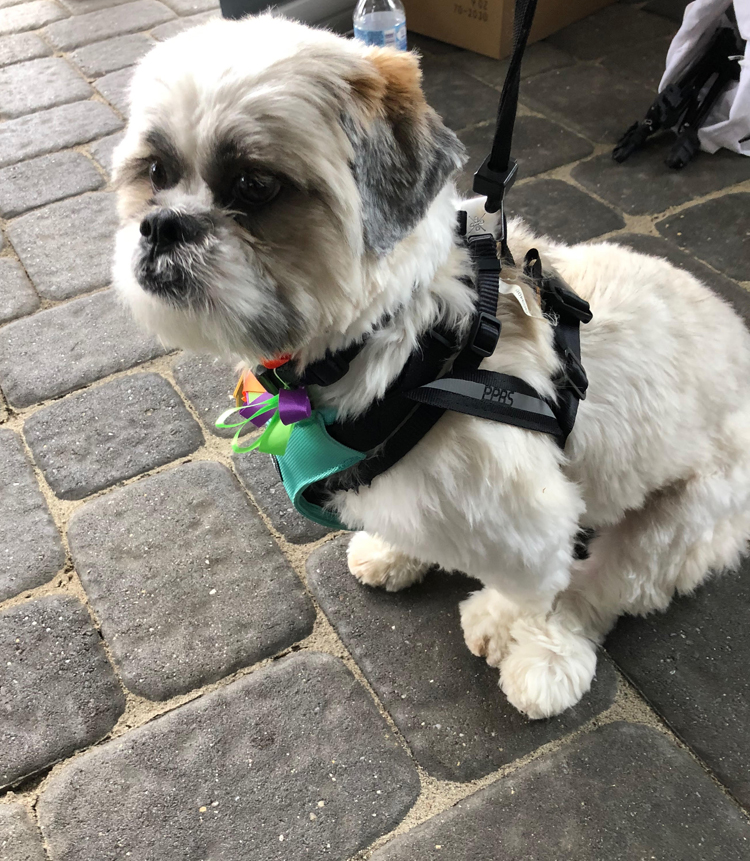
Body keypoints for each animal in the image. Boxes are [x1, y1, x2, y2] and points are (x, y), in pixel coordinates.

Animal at [111, 16, 750, 724]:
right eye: (156, 171)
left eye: (255, 185)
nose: (161, 225)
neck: (401, 336)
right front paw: (396, 549)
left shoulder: (532, 517)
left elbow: (540, 583)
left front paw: (515, 623)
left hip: (683, 518)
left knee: (602, 586)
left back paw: (543, 652)